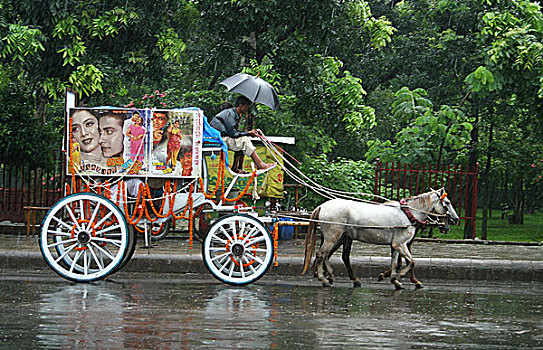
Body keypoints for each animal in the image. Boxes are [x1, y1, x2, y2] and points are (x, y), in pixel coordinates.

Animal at [302, 189, 460, 290]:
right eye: (447, 202)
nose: (456, 219)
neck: (407, 214)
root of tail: (322, 206)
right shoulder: (401, 244)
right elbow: (411, 262)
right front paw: (400, 276)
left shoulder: (396, 246)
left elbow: (395, 262)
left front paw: (394, 280)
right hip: (333, 236)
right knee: (322, 254)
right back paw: (324, 278)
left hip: (338, 236)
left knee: (328, 255)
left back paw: (330, 275)